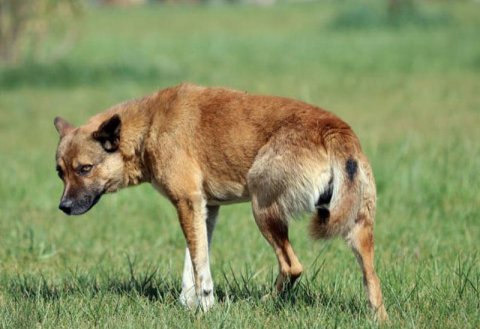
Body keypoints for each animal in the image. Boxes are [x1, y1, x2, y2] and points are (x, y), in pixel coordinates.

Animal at [54, 82, 388, 320]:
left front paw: (205, 307)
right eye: (60, 172)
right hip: (356, 229)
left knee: (293, 267)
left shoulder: (187, 203)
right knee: (372, 281)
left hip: (263, 209)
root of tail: (334, 130)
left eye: (85, 169)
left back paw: (264, 303)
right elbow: (192, 262)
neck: (150, 126)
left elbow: (200, 266)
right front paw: (188, 304)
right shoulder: (205, 208)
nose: (64, 208)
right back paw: (378, 317)